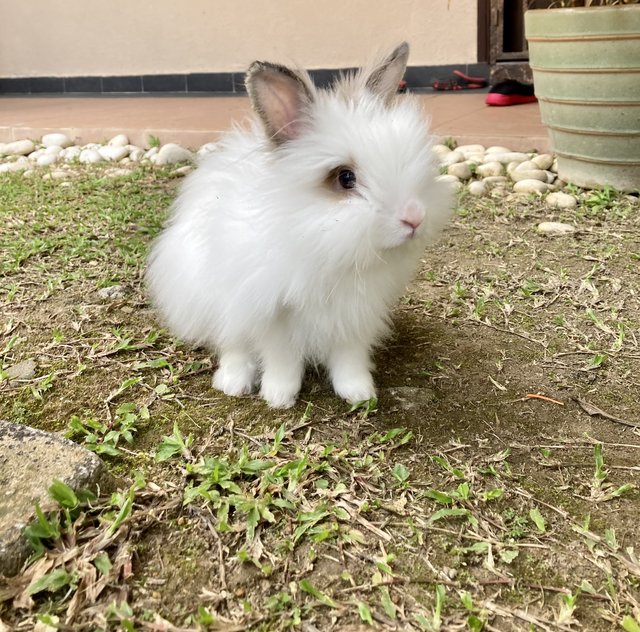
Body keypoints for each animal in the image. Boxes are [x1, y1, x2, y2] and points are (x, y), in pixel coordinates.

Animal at [148, 44, 452, 410]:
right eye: (345, 178)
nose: (414, 217)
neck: (323, 249)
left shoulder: (355, 318)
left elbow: (349, 359)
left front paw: (359, 393)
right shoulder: (273, 317)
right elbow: (282, 359)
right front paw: (279, 396)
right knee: (232, 346)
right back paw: (233, 382)